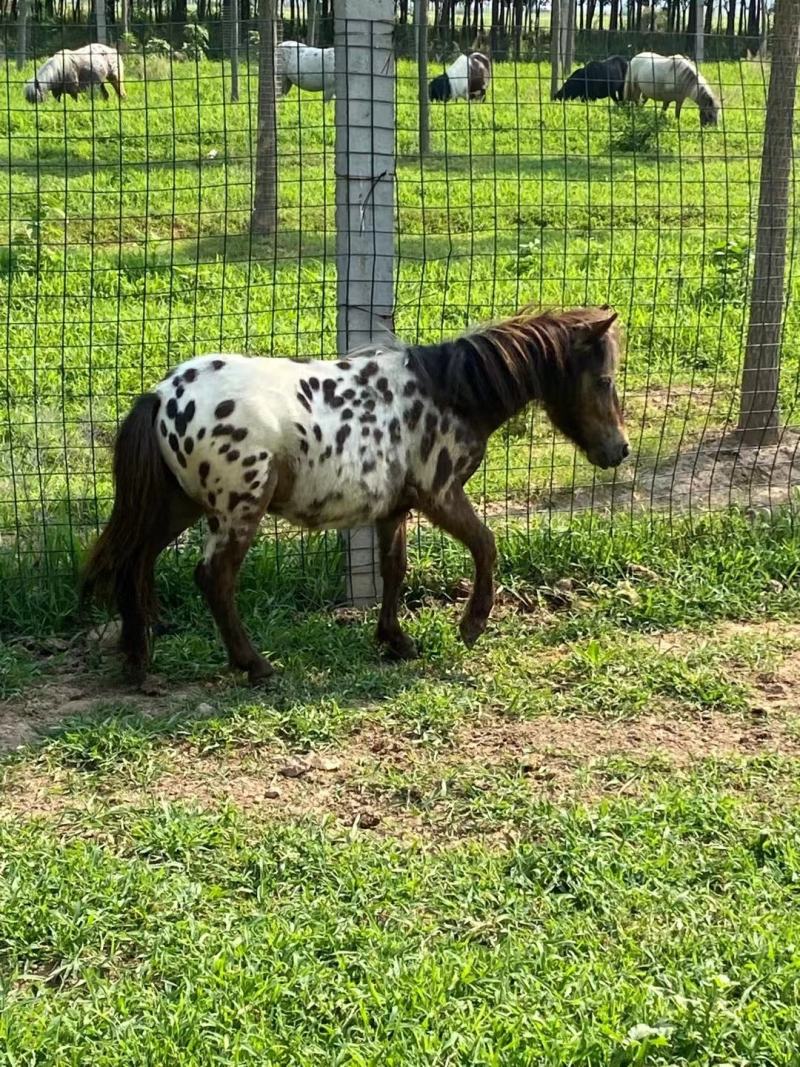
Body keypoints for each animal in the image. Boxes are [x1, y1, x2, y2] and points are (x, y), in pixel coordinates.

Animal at [82, 307, 629, 688]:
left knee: (134, 564)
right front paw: (472, 624)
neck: (448, 392)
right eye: (604, 379)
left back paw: (138, 662)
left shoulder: (395, 509)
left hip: (177, 507)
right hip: (236, 510)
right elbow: (485, 545)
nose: (619, 450)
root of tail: (161, 396)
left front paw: (394, 641)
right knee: (213, 579)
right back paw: (255, 665)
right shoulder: (440, 495)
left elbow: (394, 569)